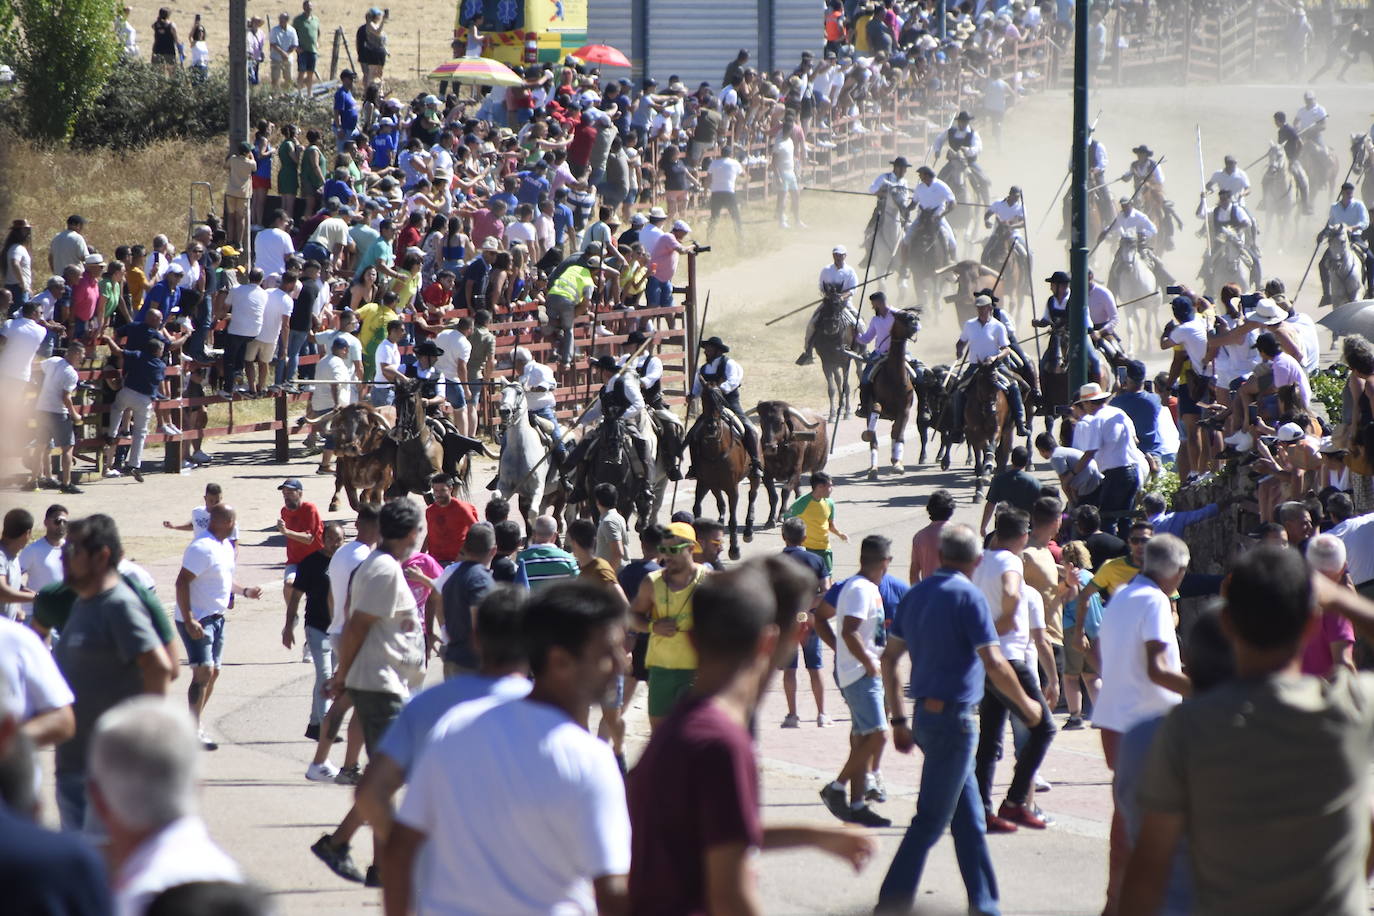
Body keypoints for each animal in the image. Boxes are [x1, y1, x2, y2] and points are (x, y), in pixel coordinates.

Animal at [687, 384, 763, 560]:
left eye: (719, 401)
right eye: (703, 399)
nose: (711, 428)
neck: (715, 452)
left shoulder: (731, 488)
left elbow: (733, 521)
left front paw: (734, 549)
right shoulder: (704, 483)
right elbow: (697, 508)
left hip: (753, 477)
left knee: (752, 496)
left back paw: (748, 530)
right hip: (714, 485)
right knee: (720, 503)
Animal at [752, 401, 824, 530]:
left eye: (781, 422)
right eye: (761, 421)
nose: (769, 447)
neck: (780, 452)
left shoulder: (795, 471)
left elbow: (785, 491)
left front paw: (781, 515)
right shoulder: (766, 475)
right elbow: (773, 496)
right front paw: (770, 520)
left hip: (817, 467)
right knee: (798, 491)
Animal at [862, 307, 917, 480]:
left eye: (913, 317)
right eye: (901, 317)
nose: (915, 323)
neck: (894, 376)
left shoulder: (904, 410)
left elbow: (898, 435)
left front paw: (898, 465)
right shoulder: (874, 403)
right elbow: (876, 409)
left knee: (895, 432)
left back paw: (895, 460)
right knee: (875, 439)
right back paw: (873, 468)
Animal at [961, 362, 1016, 502]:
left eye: (996, 383)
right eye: (981, 383)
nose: (992, 410)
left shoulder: (996, 430)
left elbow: (991, 449)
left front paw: (987, 473)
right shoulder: (974, 433)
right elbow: (981, 457)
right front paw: (978, 491)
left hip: (1008, 430)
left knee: (1003, 453)